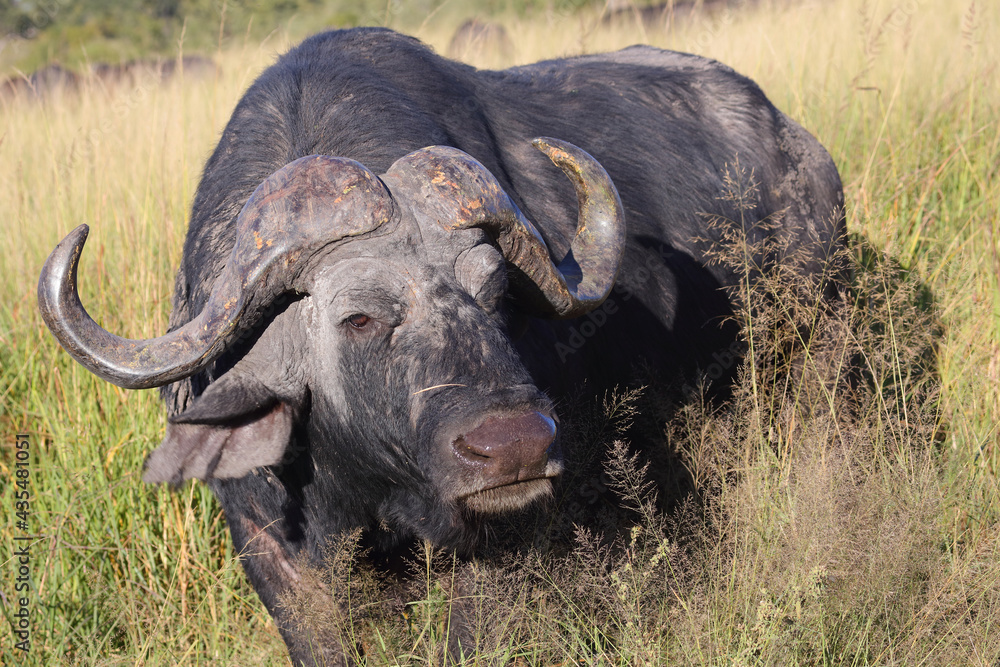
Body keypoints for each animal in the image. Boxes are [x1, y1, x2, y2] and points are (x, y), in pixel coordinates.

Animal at [39, 27, 845, 664]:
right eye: (360, 317)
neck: (363, 482)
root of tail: (801, 151)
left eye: (495, 292)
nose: (515, 445)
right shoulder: (275, 552)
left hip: (811, 358)